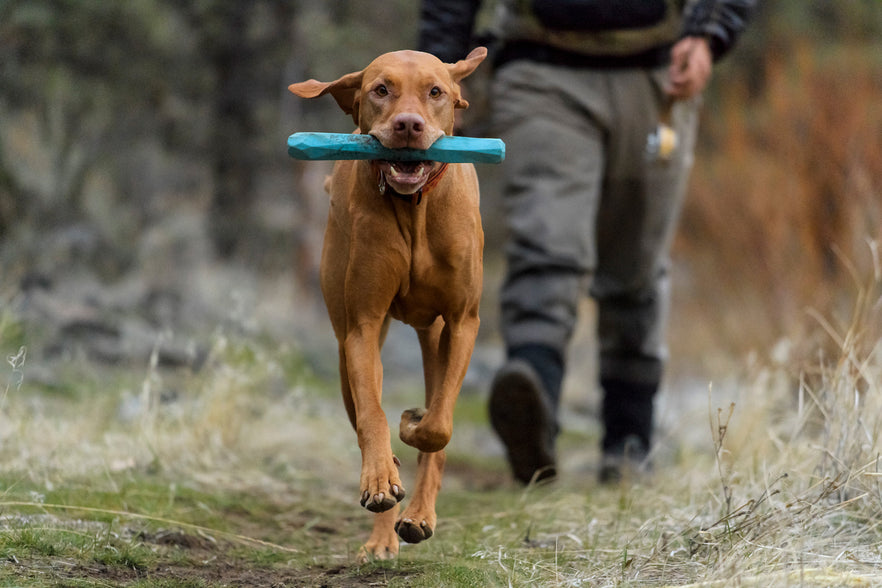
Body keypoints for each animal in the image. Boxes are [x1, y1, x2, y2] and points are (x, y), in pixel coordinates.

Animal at [288, 47, 484, 560]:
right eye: (381, 89)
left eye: (436, 91)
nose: (409, 125)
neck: (414, 209)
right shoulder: (363, 325)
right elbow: (373, 416)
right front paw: (380, 479)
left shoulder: (463, 321)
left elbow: (437, 427)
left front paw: (413, 423)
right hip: (344, 350)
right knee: (362, 416)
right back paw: (383, 526)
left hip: (435, 337)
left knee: (438, 418)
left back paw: (419, 515)